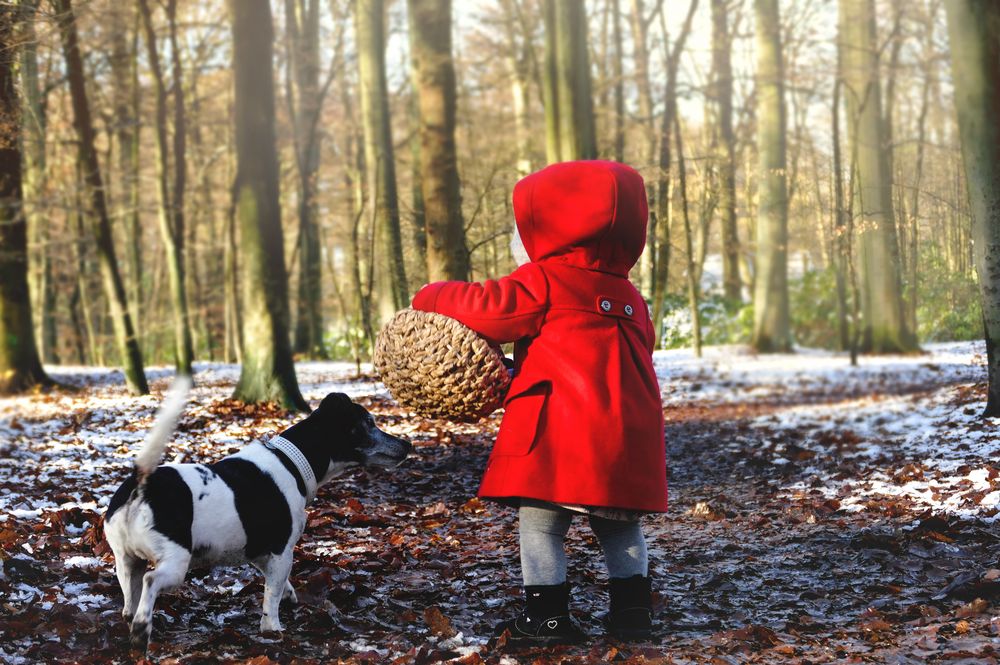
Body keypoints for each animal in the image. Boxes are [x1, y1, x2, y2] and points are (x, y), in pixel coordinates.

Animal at [102, 382, 410, 652]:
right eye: (369, 423)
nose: (407, 444)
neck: (293, 461)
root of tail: (142, 484)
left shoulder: (260, 553)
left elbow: (279, 584)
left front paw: (289, 597)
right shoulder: (282, 551)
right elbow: (270, 596)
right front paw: (272, 628)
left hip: (127, 562)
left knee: (130, 601)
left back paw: (135, 621)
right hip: (176, 563)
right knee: (150, 582)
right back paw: (142, 629)